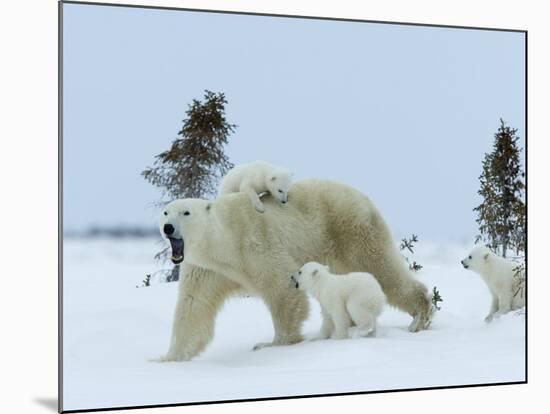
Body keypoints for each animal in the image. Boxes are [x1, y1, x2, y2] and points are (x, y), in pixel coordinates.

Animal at [162, 180, 434, 360]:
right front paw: (170, 358)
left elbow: (282, 286)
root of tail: (363, 196)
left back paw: (419, 317)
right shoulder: (206, 268)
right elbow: (193, 305)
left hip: (351, 229)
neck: (225, 241)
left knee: (381, 268)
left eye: (185, 212)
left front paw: (273, 344)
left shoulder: (255, 242)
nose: (167, 227)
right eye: (165, 212)